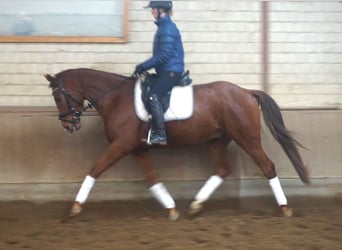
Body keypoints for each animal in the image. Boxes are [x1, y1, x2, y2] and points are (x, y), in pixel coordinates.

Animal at [45, 68, 310, 221]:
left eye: (58, 96)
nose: (69, 125)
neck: (116, 98)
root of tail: (245, 91)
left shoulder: (120, 146)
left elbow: (94, 169)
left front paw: (75, 207)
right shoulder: (137, 148)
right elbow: (152, 178)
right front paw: (172, 208)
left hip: (248, 139)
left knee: (268, 167)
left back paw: (284, 208)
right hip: (217, 140)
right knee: (222, 169)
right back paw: (195, 205)